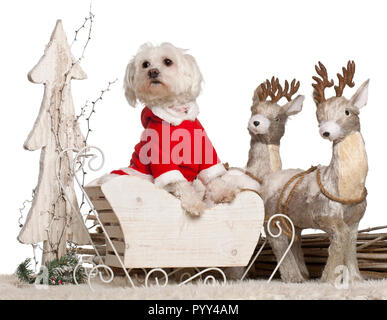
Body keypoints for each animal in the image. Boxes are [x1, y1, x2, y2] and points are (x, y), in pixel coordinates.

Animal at [101, 42, 236, 216]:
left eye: (167, 61)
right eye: (145, 64)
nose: (152, 72)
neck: (177, 116)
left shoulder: (204, 147)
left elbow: (212, 175)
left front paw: (223, 192)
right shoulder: (160, 155)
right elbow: (179, 182)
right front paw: (194, 203)